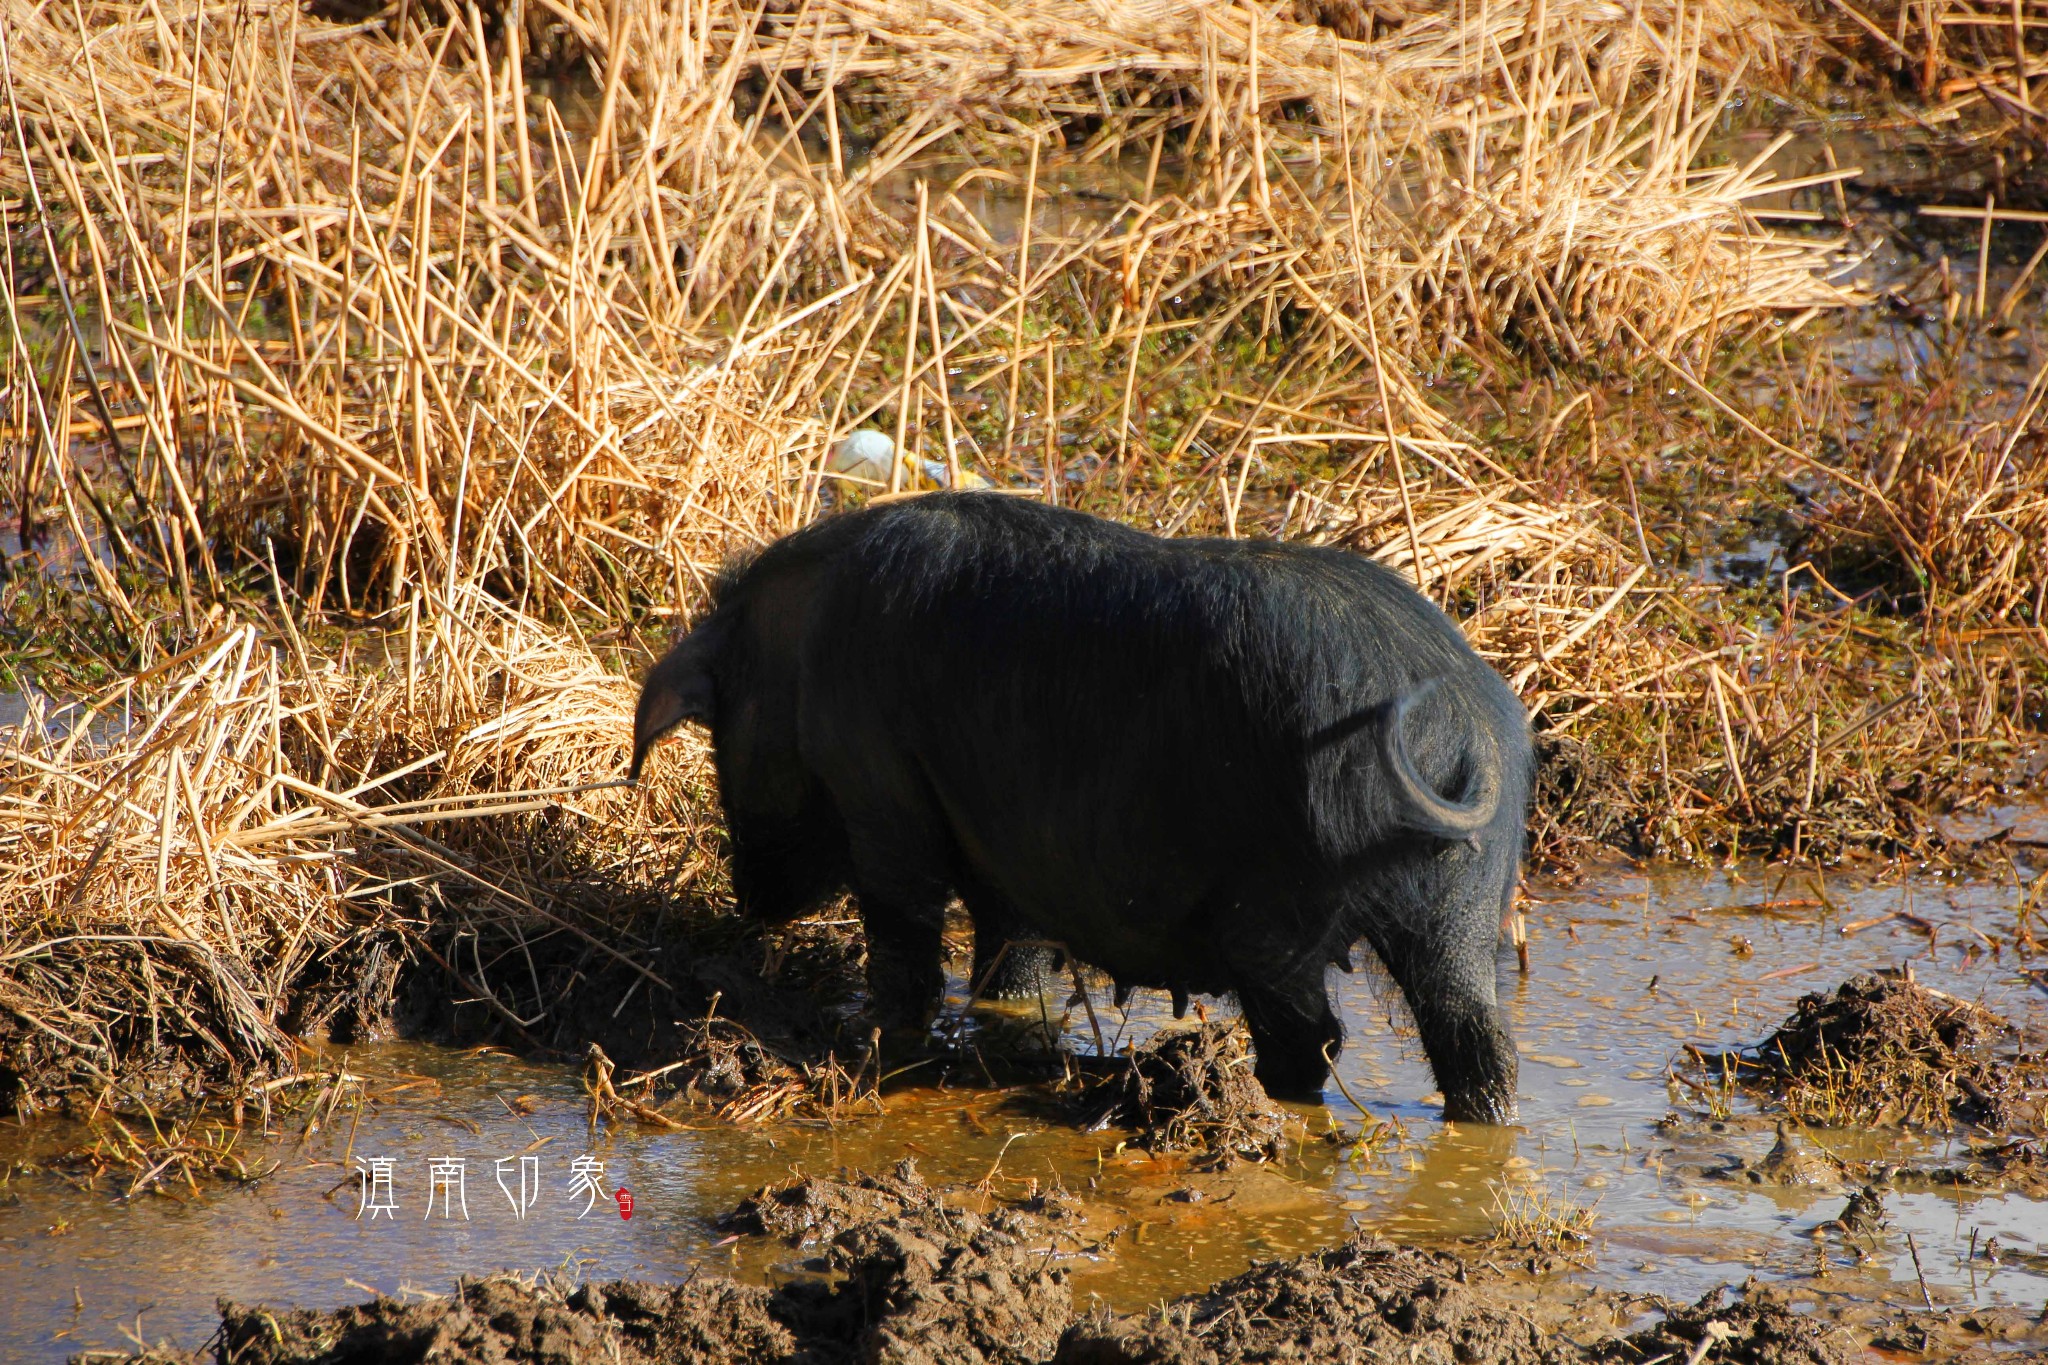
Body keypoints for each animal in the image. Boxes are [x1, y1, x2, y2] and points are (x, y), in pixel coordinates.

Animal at [630, 491, 1531, 1121]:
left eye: (720, 732)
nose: (748, 900)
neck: (795, 647)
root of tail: (1446, 710)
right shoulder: (1008, 847)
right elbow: (1011, 952)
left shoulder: (876, 781)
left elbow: (904, 927)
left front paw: (882, 1037)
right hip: (1467, 889)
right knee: (1472, 1030)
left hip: (1279, 898)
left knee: (1312, 1035)